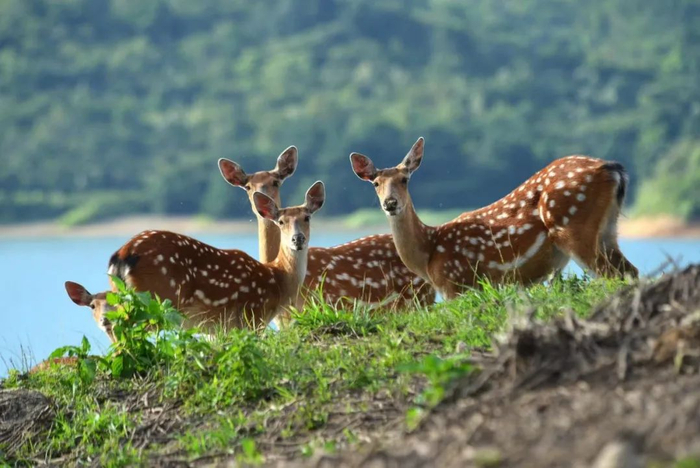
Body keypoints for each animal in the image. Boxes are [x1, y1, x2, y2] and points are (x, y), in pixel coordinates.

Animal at [104, 181, 325, 331]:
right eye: (280, 222)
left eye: (307, 217)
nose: (298, 238)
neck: (277, 279)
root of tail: (122, 254)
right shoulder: (252, 315)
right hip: (158, 299)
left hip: (122, 296)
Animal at [350, 137, 638, 300]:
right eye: (375, 183)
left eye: (404, 179)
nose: (390, 203)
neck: (428, 252)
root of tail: (613, 169)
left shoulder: (455, 283)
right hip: (608, 230)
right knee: (631, 272)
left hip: (573, 225)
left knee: (612, 276)